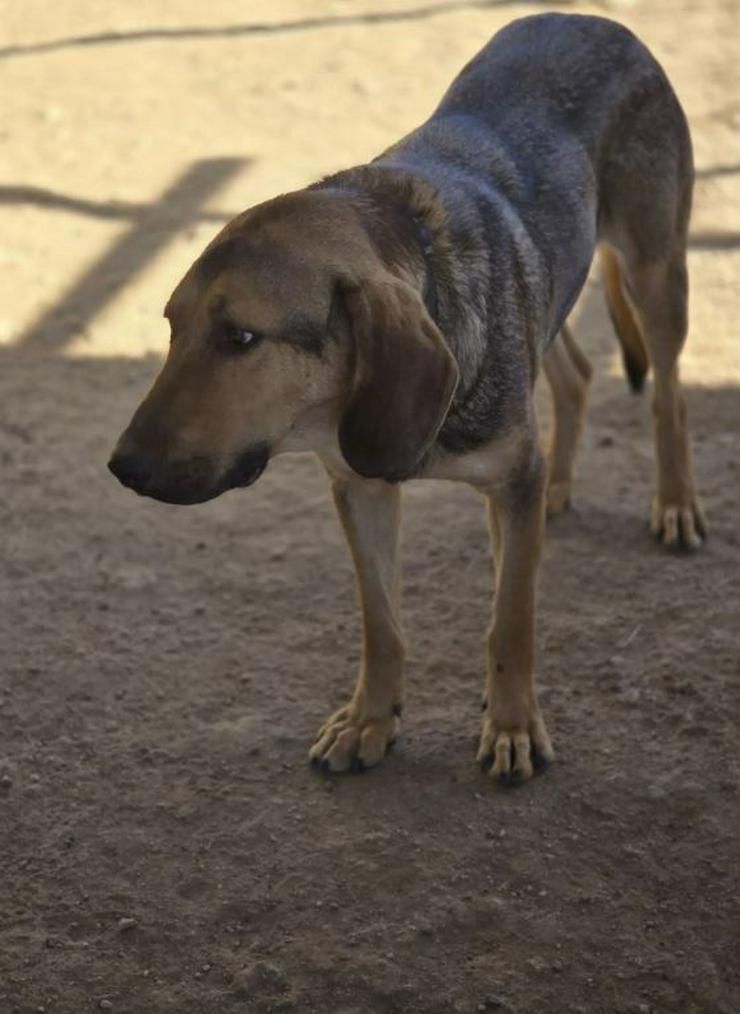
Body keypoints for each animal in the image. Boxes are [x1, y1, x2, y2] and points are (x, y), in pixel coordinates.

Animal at [107, 13, 701, 782]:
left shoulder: (509, 479)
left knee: (668, 396)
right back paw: (561, 485)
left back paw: (675, 505)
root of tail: (591, 18)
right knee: (573, 375)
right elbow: (381, 621)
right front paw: (370, 721)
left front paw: (513, 726)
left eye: (240, 337)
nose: (124, 467)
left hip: (656, 270)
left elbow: (511, 620)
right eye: (172, 326)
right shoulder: (360, 486)